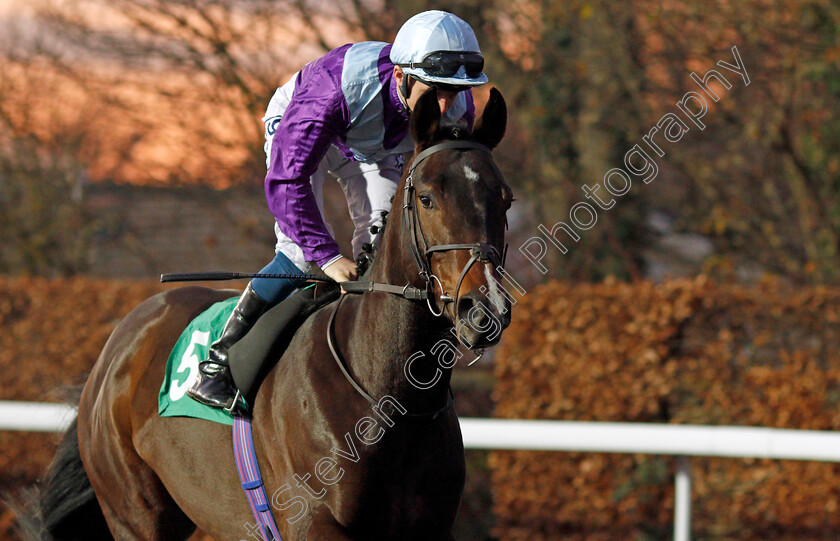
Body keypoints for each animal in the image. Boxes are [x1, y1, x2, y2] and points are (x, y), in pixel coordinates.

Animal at [32, 86, 512, 536]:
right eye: (427, 198)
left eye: (505, 199)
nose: (483, 308)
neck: (391, 396)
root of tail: (118, 344)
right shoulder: (312, 521)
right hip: (134, 512)